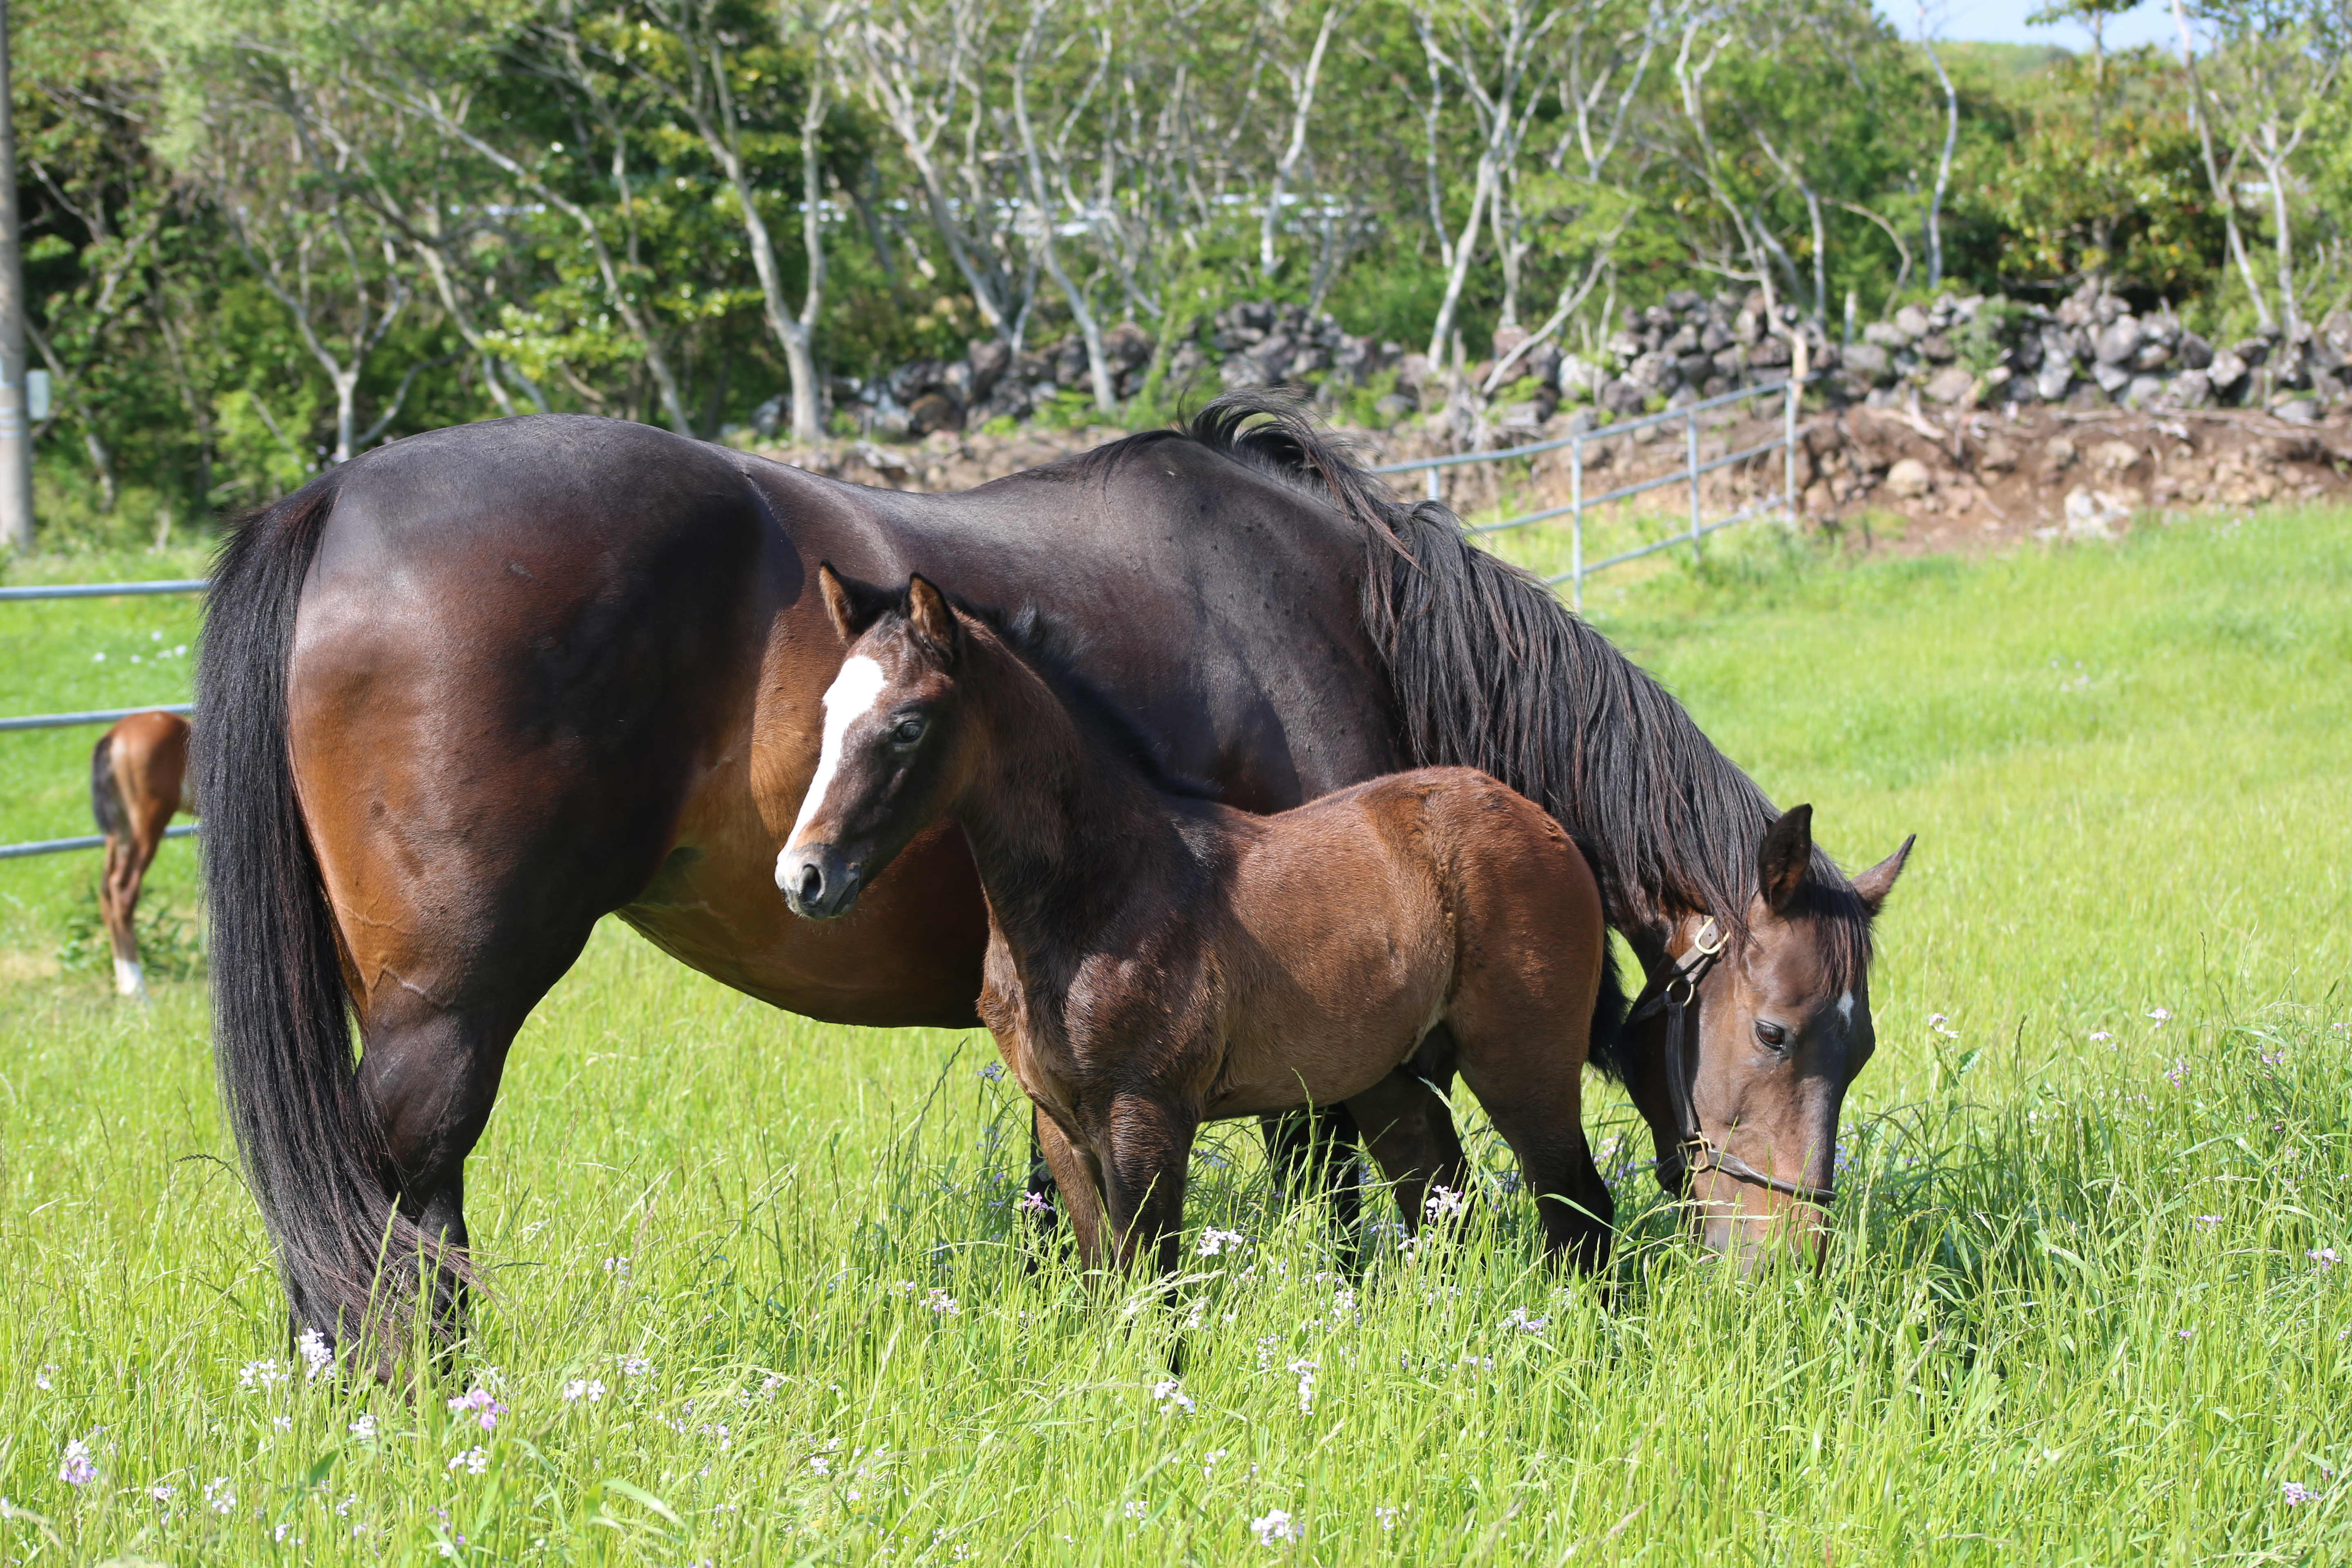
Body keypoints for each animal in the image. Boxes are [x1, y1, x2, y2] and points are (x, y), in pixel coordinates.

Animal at [781, 573, 1627, 1278]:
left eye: (908, 725)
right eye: (825, 714)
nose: (804, 877)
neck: (1102, 894)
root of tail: (1544, 825)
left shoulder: (1145, 1116)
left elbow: (1152, 1285)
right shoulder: (1061, 1127)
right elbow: (1104, 1280)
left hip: (1522, 1060)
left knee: (1575, 1207)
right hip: (1399, 1081)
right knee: (1445, 1208)